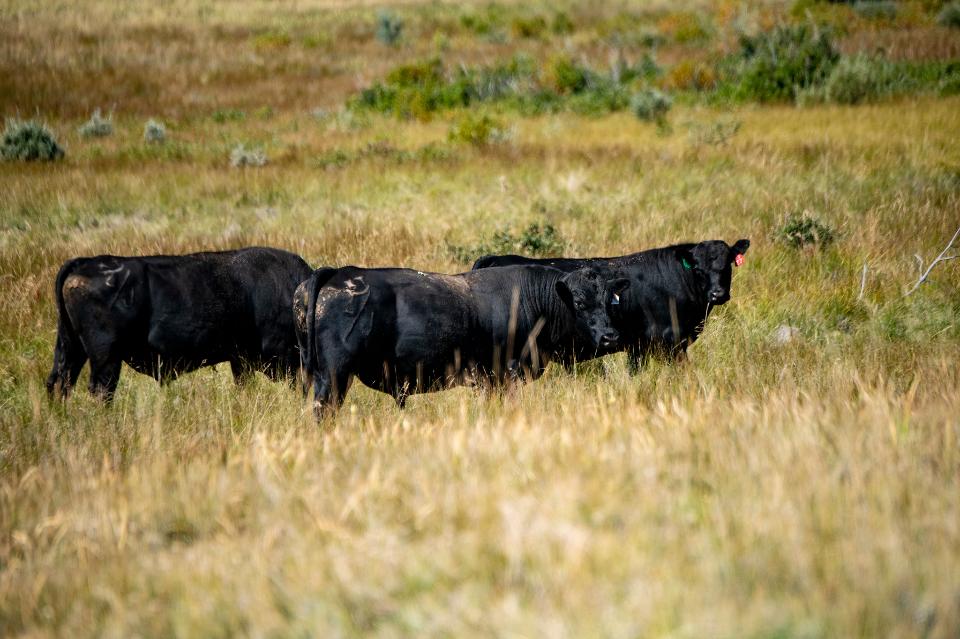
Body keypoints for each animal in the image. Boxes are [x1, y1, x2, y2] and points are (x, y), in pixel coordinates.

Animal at [47, 246, 312, 400]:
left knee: (59, 382)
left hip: (71, 348)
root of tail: (84, 263)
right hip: (106, 358)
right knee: (101, 390)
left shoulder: (240, 360)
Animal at [292, 264, 632, 416]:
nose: (610, 337)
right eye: (580, 302)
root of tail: (340, 272)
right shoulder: (505, 372)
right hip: (334, 375)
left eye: (608, 300)